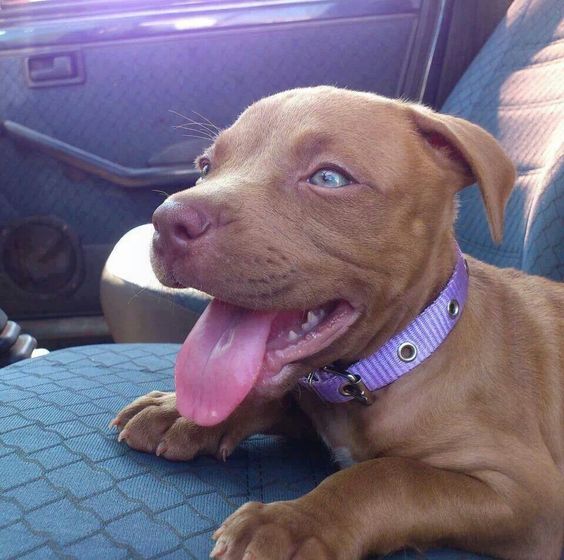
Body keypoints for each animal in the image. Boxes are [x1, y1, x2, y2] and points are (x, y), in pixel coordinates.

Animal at [112, 87, 560, 560]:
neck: (403, 354)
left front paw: (293, 522)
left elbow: (392, 477)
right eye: (205, 167)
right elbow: (277, 400)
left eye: (329, 179)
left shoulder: (527, 495)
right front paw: (178, 412)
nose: (167, 220)